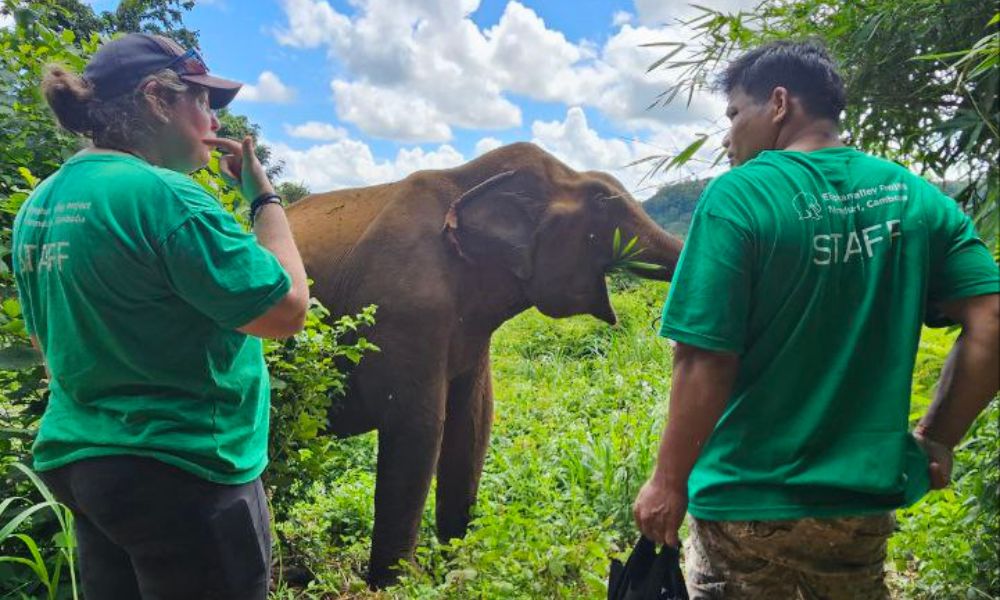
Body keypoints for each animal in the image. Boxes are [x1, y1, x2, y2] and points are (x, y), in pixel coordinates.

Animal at [285, 142, 683, 587]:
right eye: (601, 201)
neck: (466, 180)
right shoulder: (404, 312)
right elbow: (418, 428)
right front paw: (397, 586)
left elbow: (473, 425)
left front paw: (457, 571)